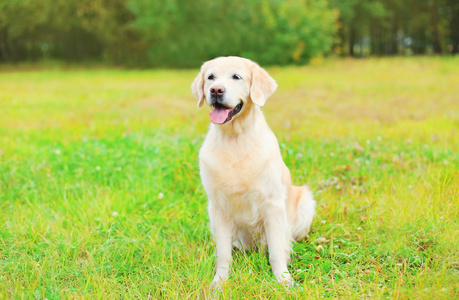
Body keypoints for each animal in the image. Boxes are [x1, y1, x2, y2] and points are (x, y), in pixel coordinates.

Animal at [191, 56, 316, 288]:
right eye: (210, 77)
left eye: (236, 76)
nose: (216, 90)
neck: (235, 139)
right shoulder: (218, 207)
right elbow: (223, 253)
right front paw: (219, 282)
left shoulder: (273, 204)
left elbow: (276, 250)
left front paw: (283, 279)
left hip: (305, 202)